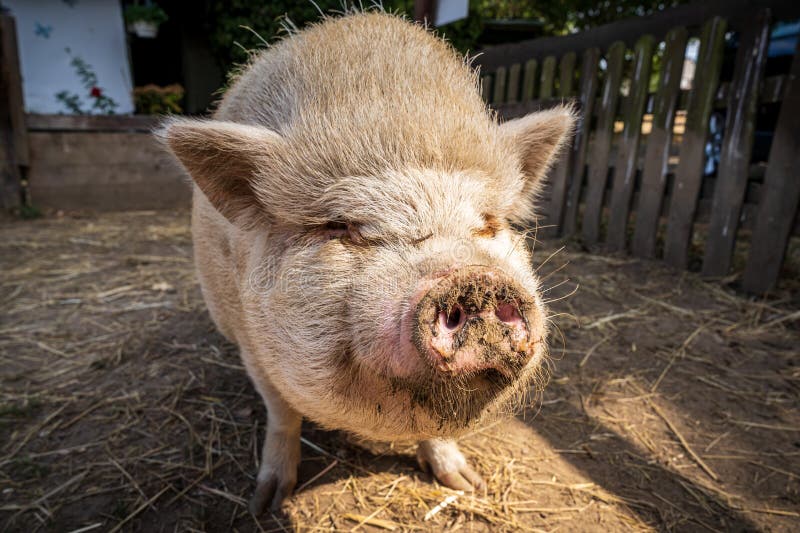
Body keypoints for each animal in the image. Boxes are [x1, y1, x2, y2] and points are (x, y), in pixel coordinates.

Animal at [159, 10, 575, 515]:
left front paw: (466, 484)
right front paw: (268, 503)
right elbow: (282, 414)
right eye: (343, 227)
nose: (474, 278)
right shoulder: (249, 341)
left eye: (488, 224)